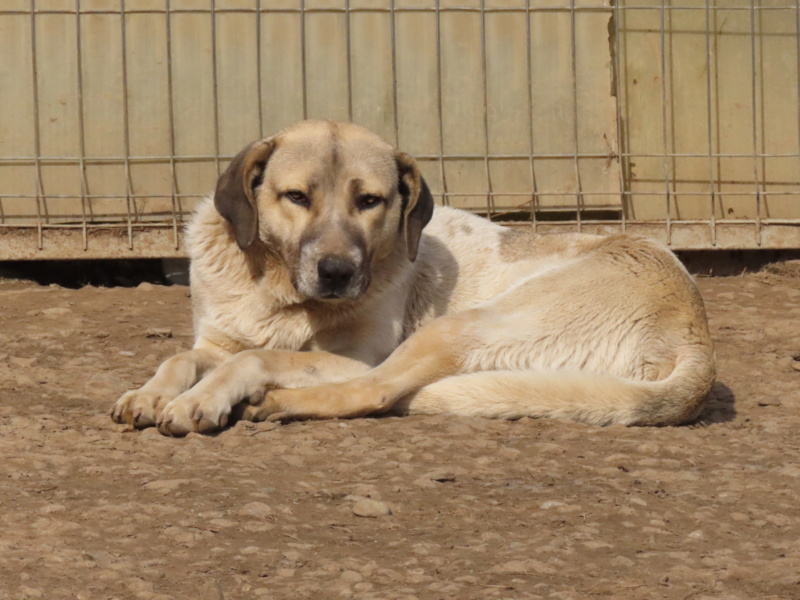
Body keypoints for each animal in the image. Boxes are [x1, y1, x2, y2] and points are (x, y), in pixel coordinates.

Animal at [109, 119, 716, 436]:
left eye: (370, 201)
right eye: (296, 197)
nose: (337, 272)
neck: (278, 290)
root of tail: (697, 337)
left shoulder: (358, 356)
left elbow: (255, 358)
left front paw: (200, 401)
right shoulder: (216, 340)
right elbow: (183, 356)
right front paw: (149, 393)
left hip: (463, 325)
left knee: (377, 393)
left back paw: (279, 403)